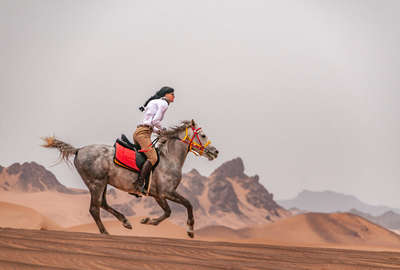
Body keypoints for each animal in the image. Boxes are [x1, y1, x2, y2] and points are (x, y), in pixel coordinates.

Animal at [41, 119, 219, 237]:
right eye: (203, 135)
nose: (215, 152)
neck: (169, 159)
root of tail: (78, 150)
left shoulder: (160, 195)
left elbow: (173, 210)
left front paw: (149, 221)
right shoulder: (165, 193)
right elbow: (182, 206)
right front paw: (188, 229)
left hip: (102, 183)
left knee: (102, 204)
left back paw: (125, 221)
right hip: (96, 183)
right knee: (94, 208)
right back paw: (105, 232)